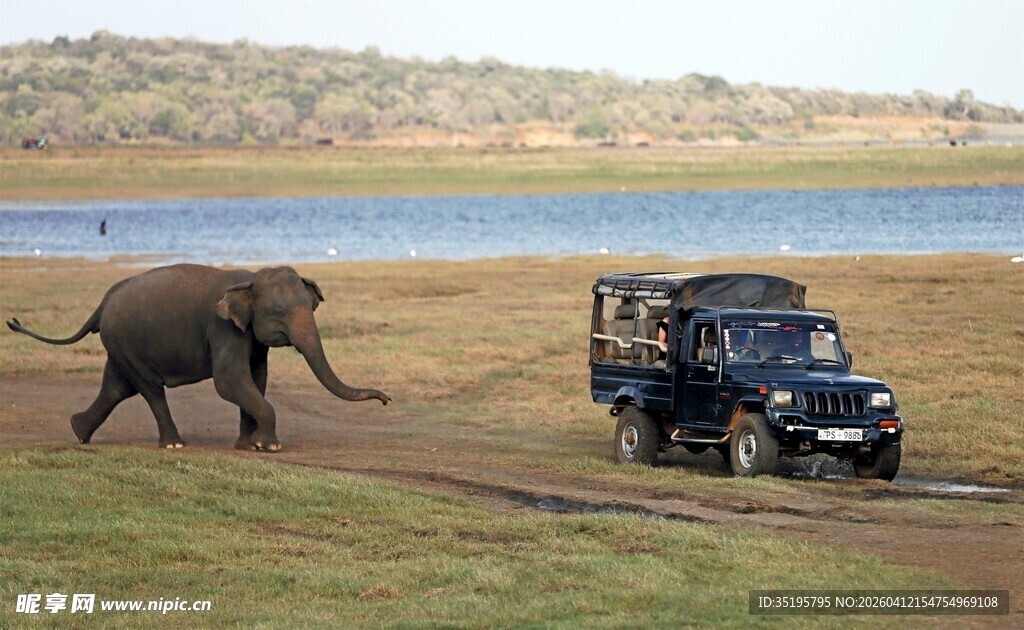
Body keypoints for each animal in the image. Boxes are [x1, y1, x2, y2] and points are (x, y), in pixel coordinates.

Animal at [6, 264, 390, 451]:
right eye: (279, 313)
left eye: (312, 307)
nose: (386, 399)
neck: (249, 278)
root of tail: (104, 301)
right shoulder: (222, 329)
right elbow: (230, 382)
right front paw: (269, 446)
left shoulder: (248, 336)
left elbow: (256, 378)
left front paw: (247, 445)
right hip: (124, 341)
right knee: (149, 388)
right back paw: (173, 444)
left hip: (120, 343)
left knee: (117, 387)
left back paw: (78, 430)